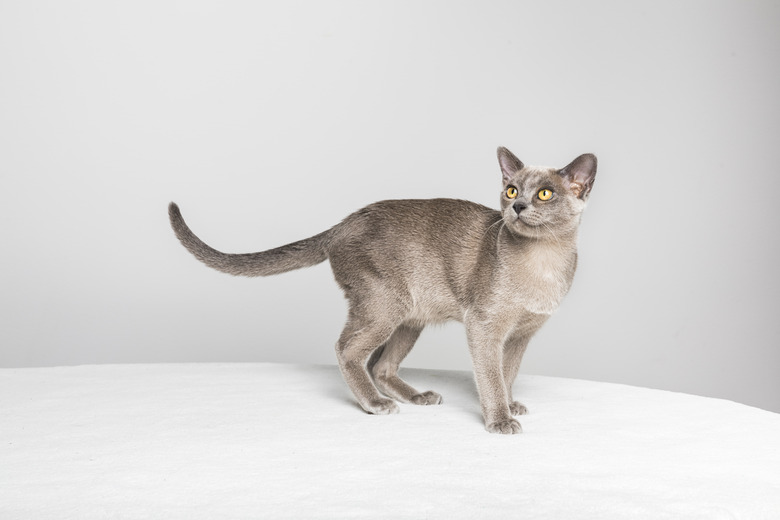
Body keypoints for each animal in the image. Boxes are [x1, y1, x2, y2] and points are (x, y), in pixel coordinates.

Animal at [169, 147, 596, 434]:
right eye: (510, 190)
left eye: (544, 193)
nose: (518, 207)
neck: (544, 261)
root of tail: (342, 223)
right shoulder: (485, 327)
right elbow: (490, 376)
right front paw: (499, 419)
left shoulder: (521, 335)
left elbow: (508, 374)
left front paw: (510, 405)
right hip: (385, 306)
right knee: (347, 350)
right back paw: (375, 404)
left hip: (411, 317)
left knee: (380, 364)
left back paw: (417, 397)